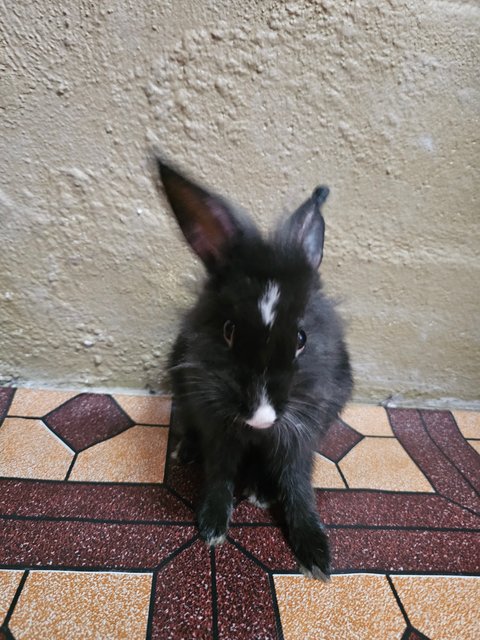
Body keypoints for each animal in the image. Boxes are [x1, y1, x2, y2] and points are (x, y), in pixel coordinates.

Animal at [155, 156, 352, 580]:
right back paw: (186, 452)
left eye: (301, 337)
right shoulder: (216, 424)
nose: (261, 416)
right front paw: (212, 526)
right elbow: (220, 472)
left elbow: (297, 483)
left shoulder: (302, 433)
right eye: (228, 331)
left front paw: (316, 554)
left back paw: (261, 490)